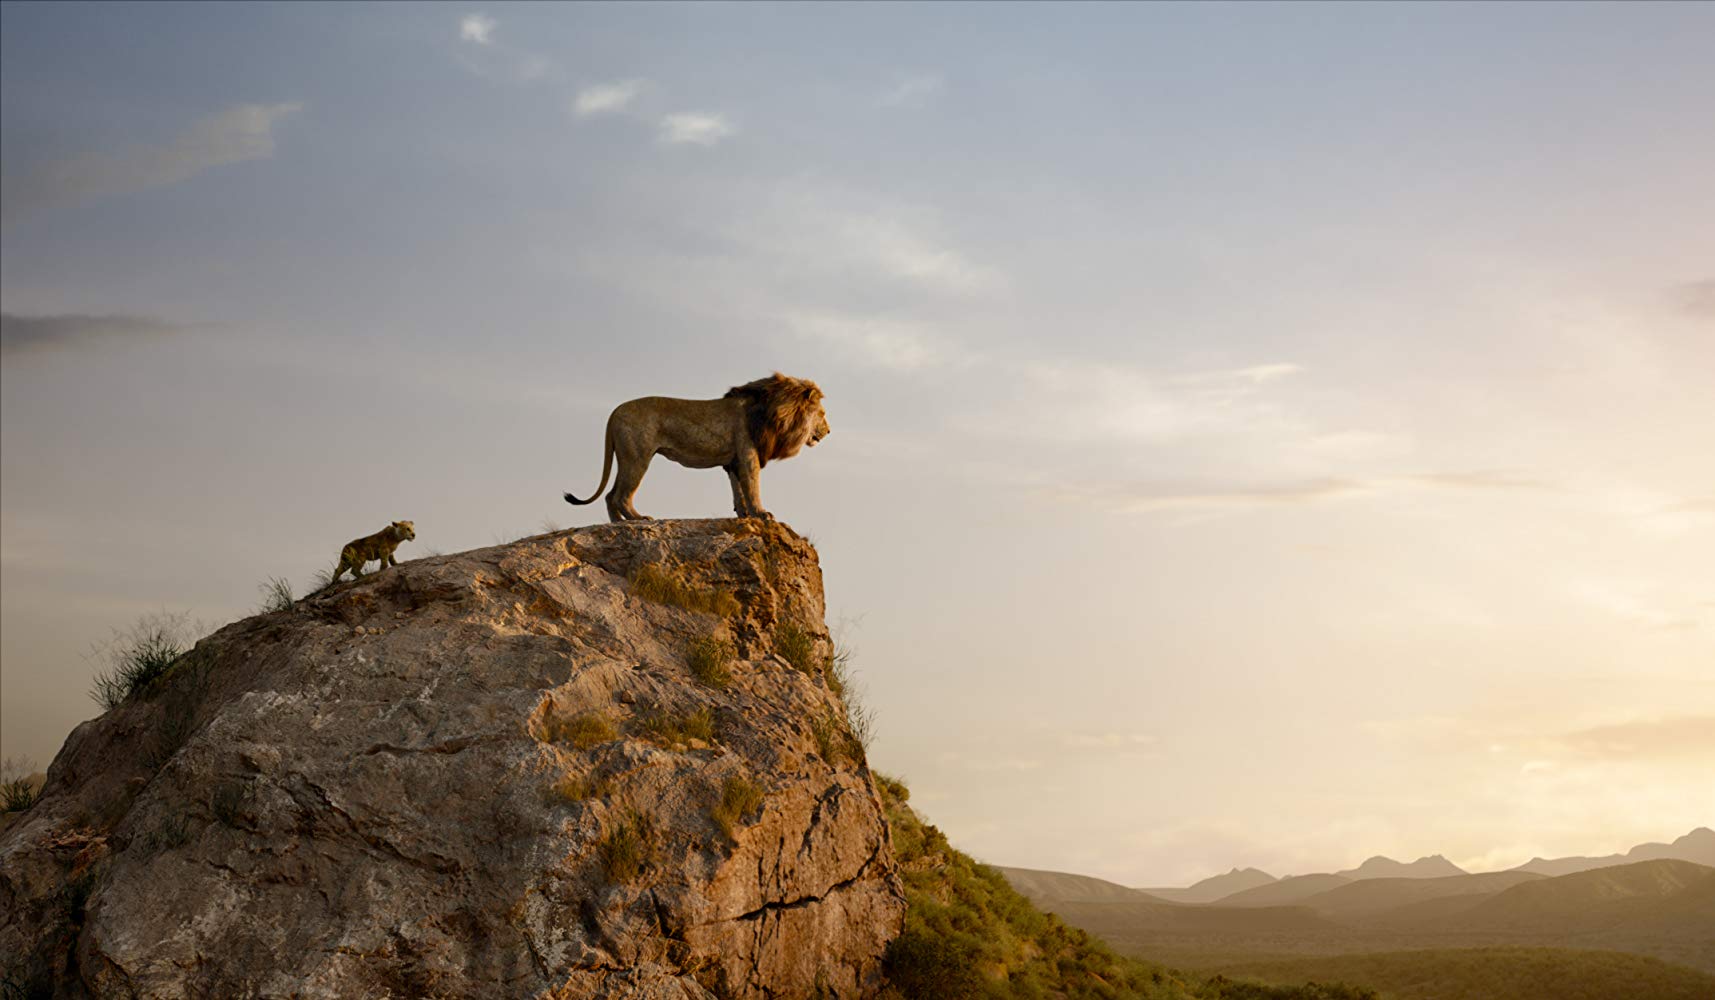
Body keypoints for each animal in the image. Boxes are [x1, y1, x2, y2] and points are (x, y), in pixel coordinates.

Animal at [562, 373, 830, 524]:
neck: (773, 411)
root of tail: (615, 411)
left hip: (625, 457)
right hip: (638, 457)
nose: (828, 431)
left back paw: (617, 524)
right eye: (822, 414)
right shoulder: (748, 454)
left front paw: (744, 515)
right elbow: (752, 487)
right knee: (621, 496)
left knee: (610, 495)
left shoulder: (734, 461)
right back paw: (638, 520)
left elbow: (738, 490)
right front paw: (761, 514)